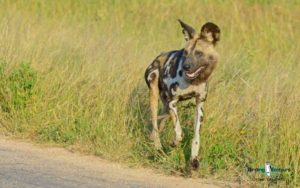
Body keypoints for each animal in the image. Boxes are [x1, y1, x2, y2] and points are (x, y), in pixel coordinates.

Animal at [145, 19, 220, 169]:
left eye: (199, 53)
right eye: (185, 52)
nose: (186, 66)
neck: (194, 81)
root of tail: (157, 58)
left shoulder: (199, 106)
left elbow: (196, 137)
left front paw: (193, 159)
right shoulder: (173, 102)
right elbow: (179, 133)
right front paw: (173, 143)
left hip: (165, 106)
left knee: (159, 125)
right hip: (155, 92)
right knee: (155, 124)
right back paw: (158, 149)